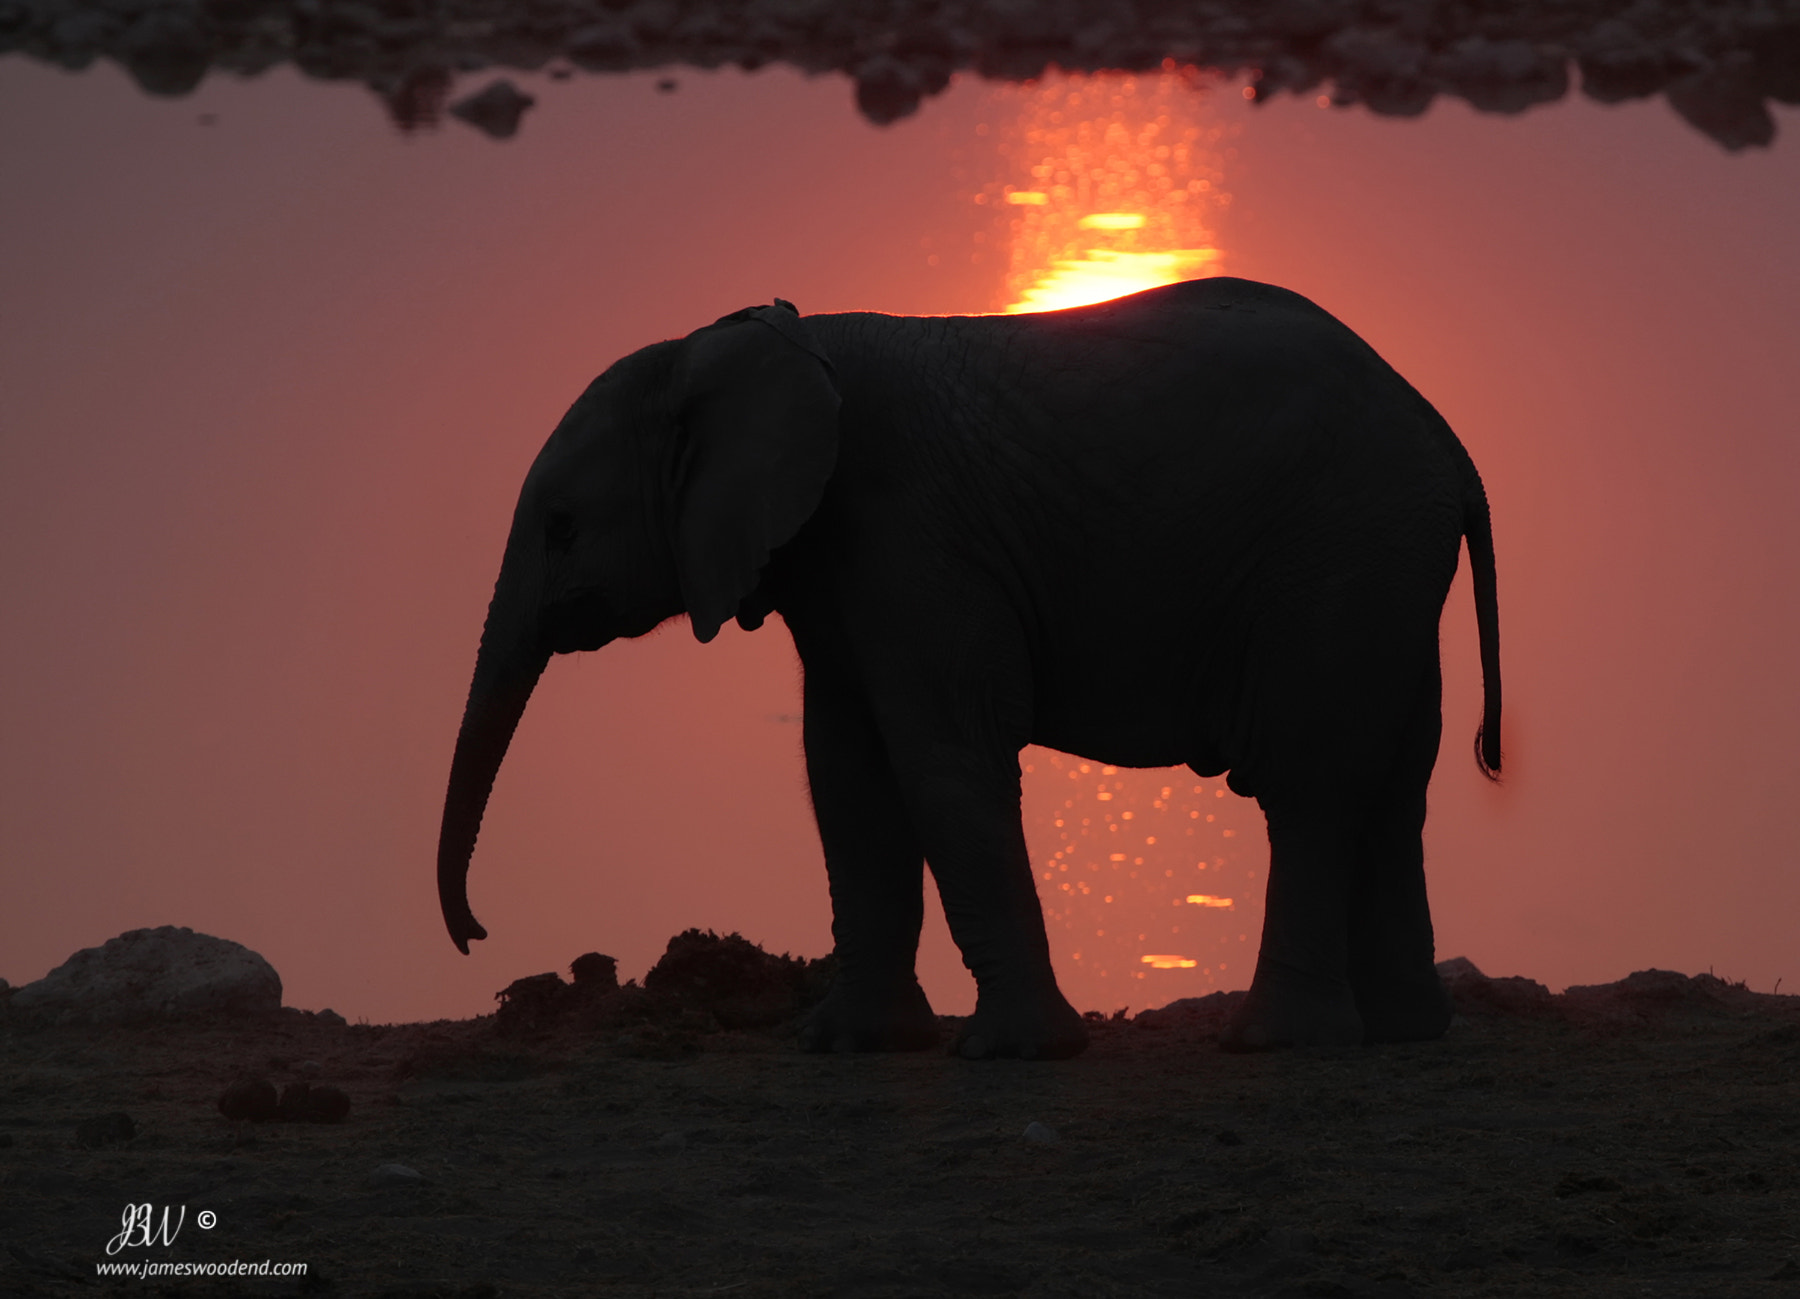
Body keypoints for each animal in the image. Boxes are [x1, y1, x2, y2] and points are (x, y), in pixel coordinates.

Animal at [436, 277, 1502, 1060]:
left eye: (562, 525)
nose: (478, 935)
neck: (754, 342)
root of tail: (1446, 436)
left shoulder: (912, 535)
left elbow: (943, 759)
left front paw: (1015, 1054)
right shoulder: (834, 561)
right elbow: (846, 776)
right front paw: (849, 1046)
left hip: (1340, 555)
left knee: (1312, 784)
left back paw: (1278, 1044)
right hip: (1388, 568)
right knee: (1396, 785)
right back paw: (1406, 1033)